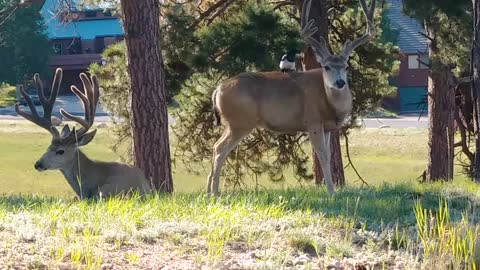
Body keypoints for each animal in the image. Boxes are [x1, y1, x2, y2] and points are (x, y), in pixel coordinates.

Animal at [208, 0, 376, 195]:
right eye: (326, 67)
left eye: (346, 66)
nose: (340, 82)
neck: (330, 105)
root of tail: (217, 89)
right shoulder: (313, 121)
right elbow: (323, 156)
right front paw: (331, 192)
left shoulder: (327, 127)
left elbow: (328, 154)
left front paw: (331, 189)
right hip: (240, 121)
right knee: (220, 149)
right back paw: (214, 192)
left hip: (232, 123)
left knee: (215, 146)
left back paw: (208, 191)